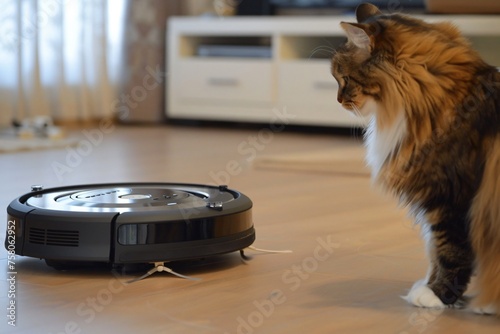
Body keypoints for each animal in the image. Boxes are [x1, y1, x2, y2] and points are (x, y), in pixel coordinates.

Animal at [332, 2, 500, 314]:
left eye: (344, 78)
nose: (338, 100)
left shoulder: (451, 198)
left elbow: (450, 251)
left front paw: (436, 295)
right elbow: (434, 248)